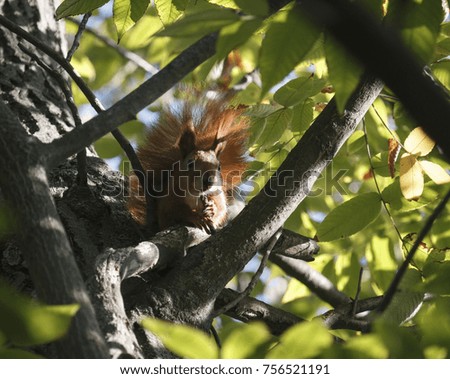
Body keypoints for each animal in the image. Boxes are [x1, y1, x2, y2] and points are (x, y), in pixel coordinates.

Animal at [126, 96, 248, 233]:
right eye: (190, 163)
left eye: (219, 167)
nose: (208, 181)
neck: (195, 193)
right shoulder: (170, 198)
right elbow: (176, 211)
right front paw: (197, 217)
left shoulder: (217, 195)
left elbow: (221, 209)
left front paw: (212, 208)